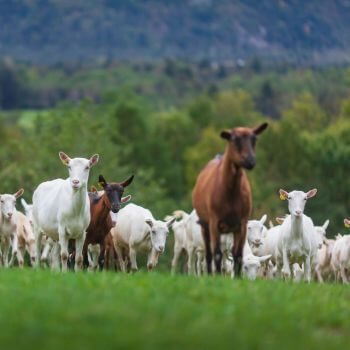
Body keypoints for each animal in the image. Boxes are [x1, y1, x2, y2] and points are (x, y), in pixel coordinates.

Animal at [191, 123, 268, 276]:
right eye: (235, 140)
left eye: (254, 139)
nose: (250, 161)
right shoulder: (215, 225)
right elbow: (218, 256)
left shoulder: (240, 225)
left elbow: (237, 256)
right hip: (204, 230)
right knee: (206, 257)